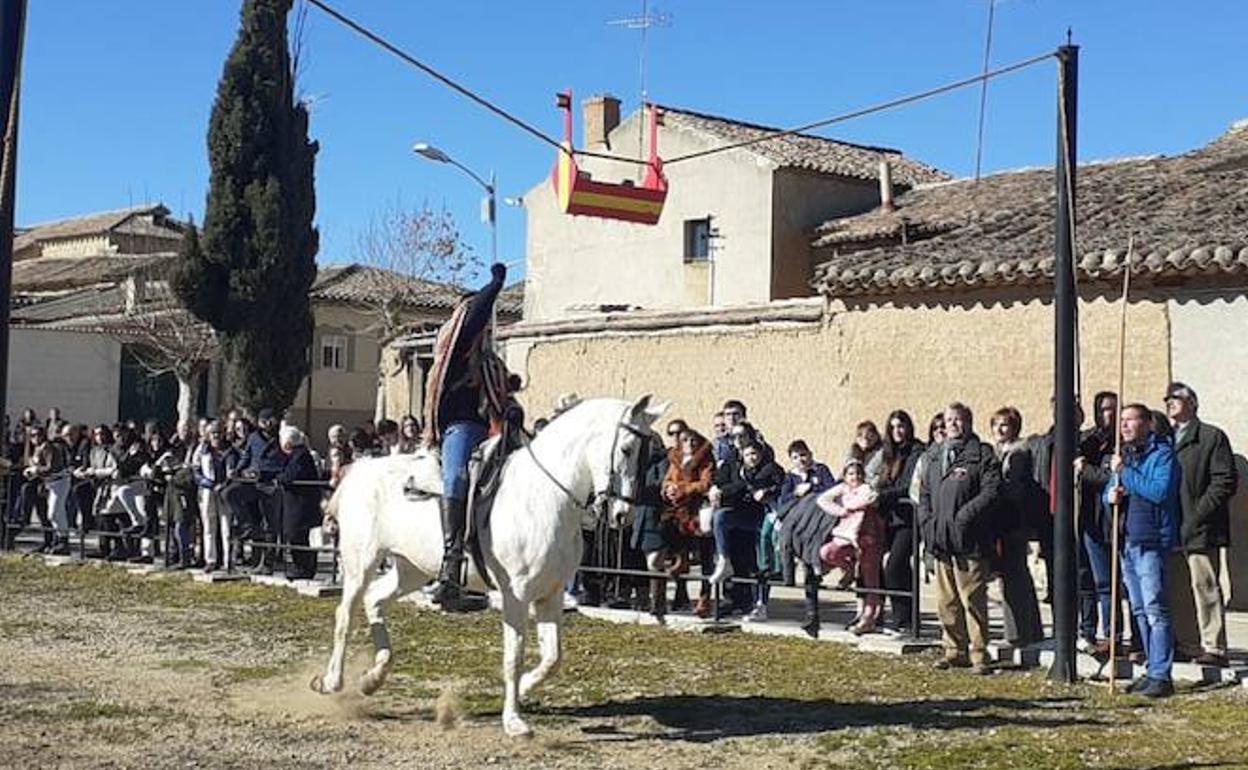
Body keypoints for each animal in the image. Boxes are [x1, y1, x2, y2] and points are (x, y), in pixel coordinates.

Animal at [312, 394, 663, 733]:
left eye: (649, 455)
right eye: (627, 449)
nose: (623, 515)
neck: (545, 496)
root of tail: (360, 470)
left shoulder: (551, 593)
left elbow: (553, 657)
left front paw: (524, 689)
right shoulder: (516, 596)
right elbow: (514, 656)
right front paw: (514, 721)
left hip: (411, 570)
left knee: (375, 599)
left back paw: (373, 678)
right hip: (361, 563)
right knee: (346, 614)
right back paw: (331, 681)